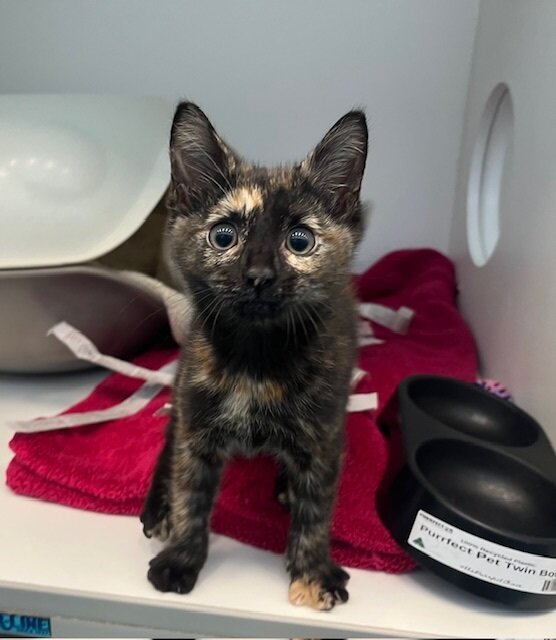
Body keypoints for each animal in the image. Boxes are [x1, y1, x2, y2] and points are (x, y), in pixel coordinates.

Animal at [140, 102, 368, 610]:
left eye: (299, 241)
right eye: (224, 236)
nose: (259, 275)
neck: (255, 361)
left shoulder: (325, 433)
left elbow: (317, 508)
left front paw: (312, 571)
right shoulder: (197, 421)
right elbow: (191, 491)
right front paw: (181, 556)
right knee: (170, 434)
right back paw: (158, 504)